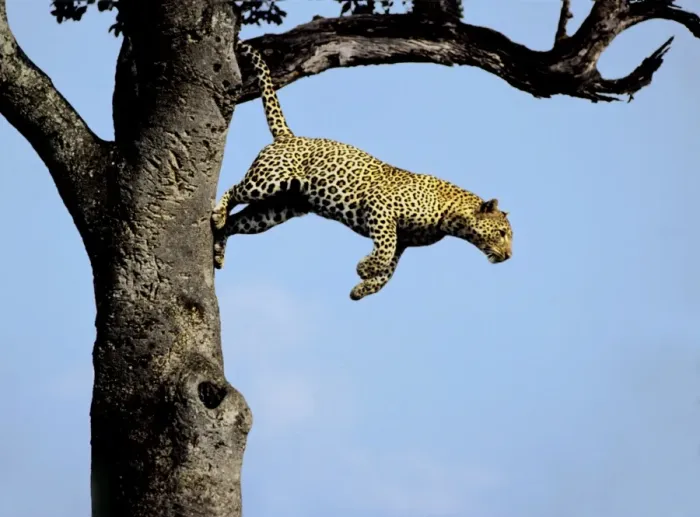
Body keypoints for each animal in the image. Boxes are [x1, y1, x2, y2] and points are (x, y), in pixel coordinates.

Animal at [212, 41, 514, 301]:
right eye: (501, 233)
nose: (509, 256)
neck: (451, 216)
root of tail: (289, 136)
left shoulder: (403, 241)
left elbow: (389, 269)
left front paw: (363, 287)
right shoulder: (381, 209)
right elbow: (385, 251)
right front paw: (364, 269)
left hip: (275, 211)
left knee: (236, 223)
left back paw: (218, 250)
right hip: (267, 181)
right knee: (234, 190)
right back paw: (216, 215)